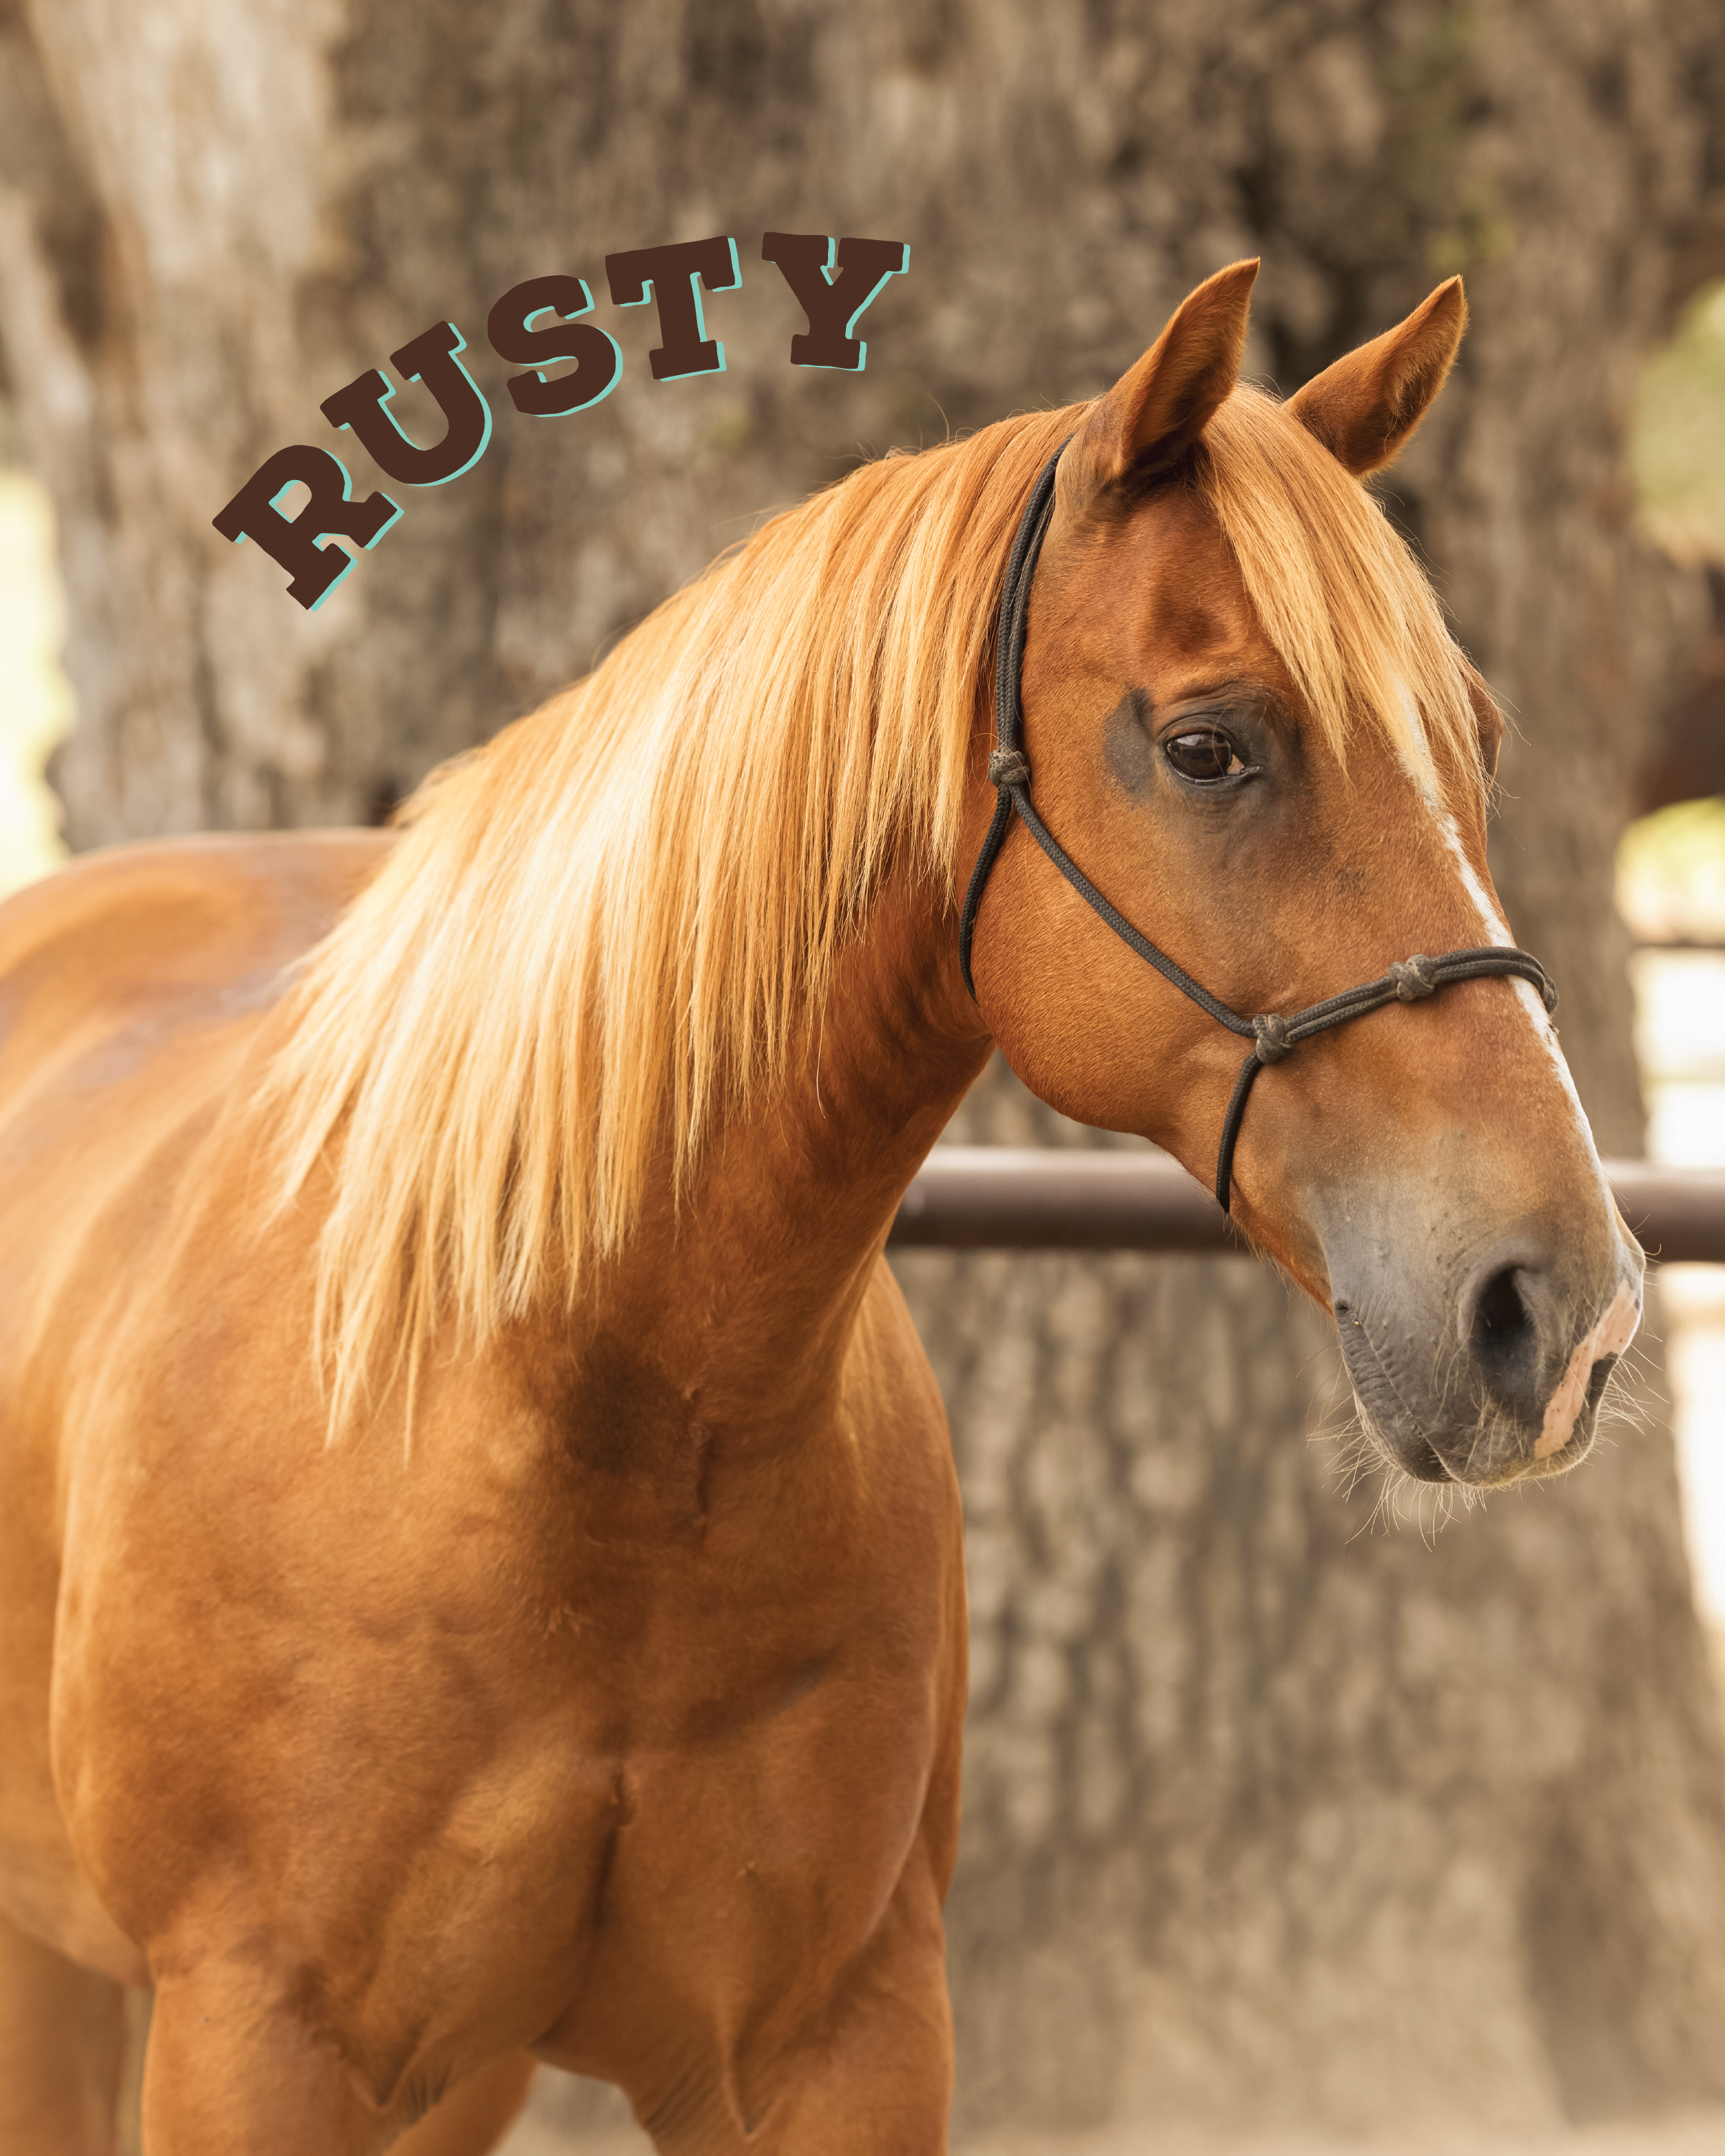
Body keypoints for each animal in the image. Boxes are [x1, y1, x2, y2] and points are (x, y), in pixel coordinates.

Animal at [0, 258, 1643, 2154]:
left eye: (1476, 741)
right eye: (1209, 746)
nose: (1565, 1310)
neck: (577, 1430)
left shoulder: (840, 2040)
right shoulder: (252, 2045)